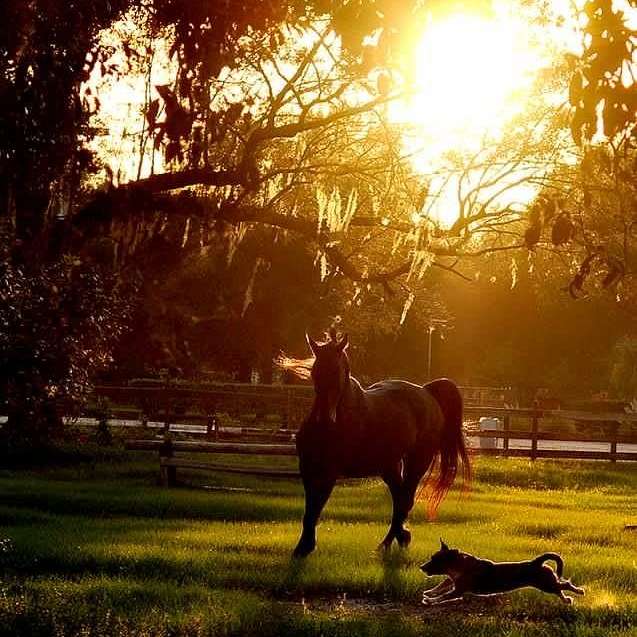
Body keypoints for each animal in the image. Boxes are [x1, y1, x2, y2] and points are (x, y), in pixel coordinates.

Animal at [286, 330, 470, 556]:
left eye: (337, 371)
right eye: (315, 371)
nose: (325, 417)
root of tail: (427, 391)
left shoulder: (329, 472)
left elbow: (316, 507)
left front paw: (305, 547)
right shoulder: (308, 468)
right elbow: (310, 508)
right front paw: (303, 547)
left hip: (418, 461)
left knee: (404, 500)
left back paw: (388, 542)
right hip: (390, 466)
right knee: (400, 499)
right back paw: (400, 537)